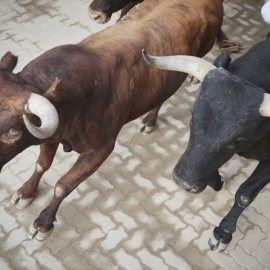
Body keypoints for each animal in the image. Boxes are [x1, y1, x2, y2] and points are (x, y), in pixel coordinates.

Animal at [2, 0, 225, 240]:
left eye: (13, 131)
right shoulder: (50, 137)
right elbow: (41, 164)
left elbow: (63, 185)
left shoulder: (101, 149)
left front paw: (43, 223)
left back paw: (153, 118)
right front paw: (26, 192)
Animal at [143, 34, 270, 252]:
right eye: (192, 117)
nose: (183, 182)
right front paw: (218, 182)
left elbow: (245, 193)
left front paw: (223, 233)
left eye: (237, 140)